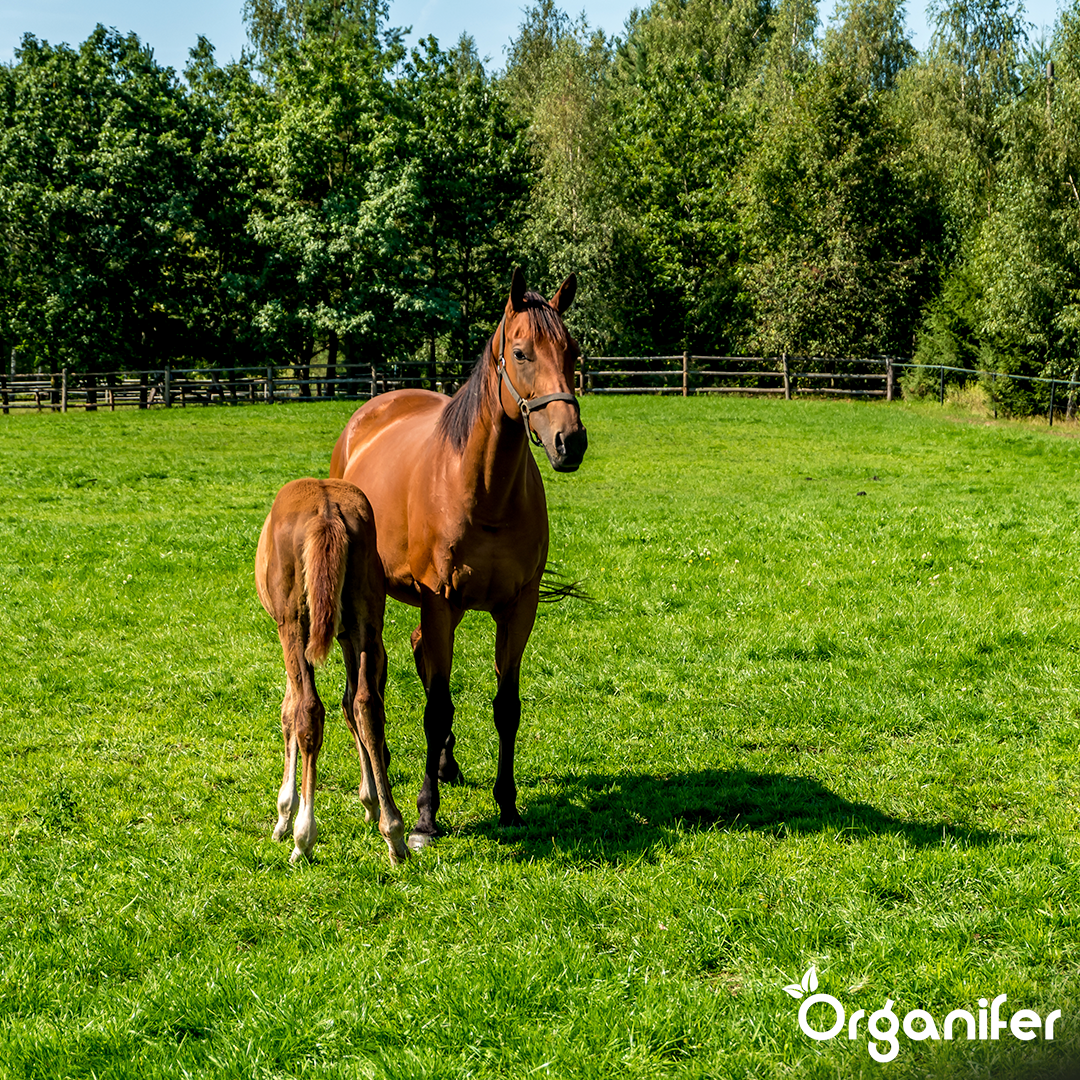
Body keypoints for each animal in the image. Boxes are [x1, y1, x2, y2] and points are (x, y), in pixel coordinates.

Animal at [255, 477, 408, 865]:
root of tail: (327, 511)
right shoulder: (348, 635)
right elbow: (352, 704)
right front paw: (370, 800)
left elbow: (290, 712)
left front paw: (284, 814)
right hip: (366, 620)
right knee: (368, 707)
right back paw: (394, 834)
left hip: (294, 624)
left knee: (309, 709)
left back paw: (303, 838)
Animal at [328, 268, 588, 849]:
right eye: (521, 353)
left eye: (573, 352)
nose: (570, 442)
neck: (483, 491)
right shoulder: (440, 602)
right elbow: (436, 707)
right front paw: (425, 817)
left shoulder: (518, 608)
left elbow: (505, 707)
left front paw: (508, 805)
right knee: (371, 687)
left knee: (418, 655)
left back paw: (445, 763)